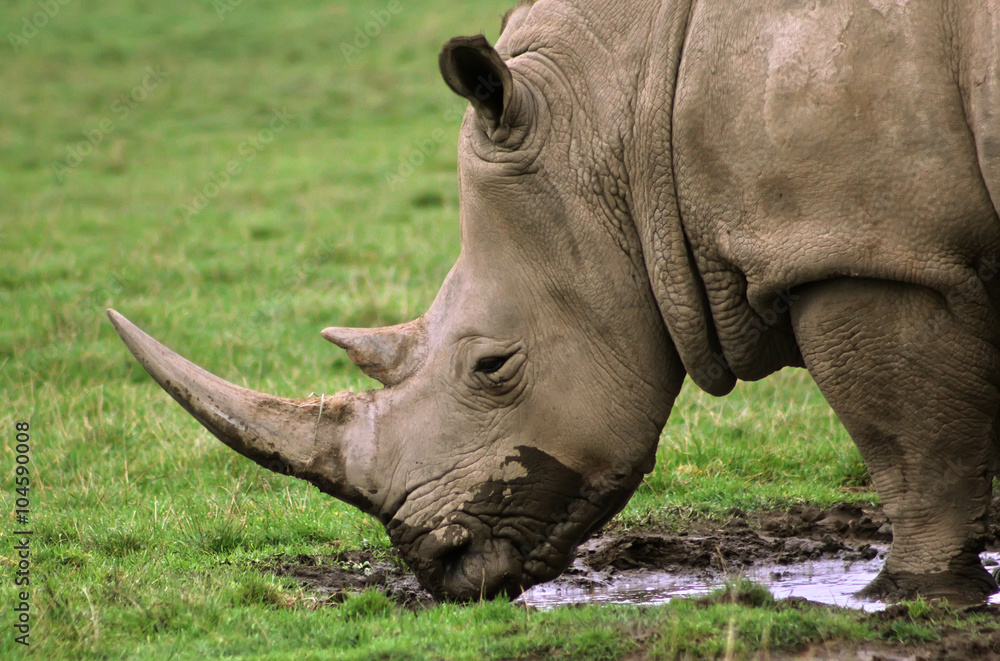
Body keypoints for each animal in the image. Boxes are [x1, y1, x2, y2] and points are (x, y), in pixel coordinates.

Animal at [109, 0, 1000, 603]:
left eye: (494, 365)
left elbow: (911, 445)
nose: (440, 564)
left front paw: (910, 590)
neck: (622, 115)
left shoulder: (863, 249)